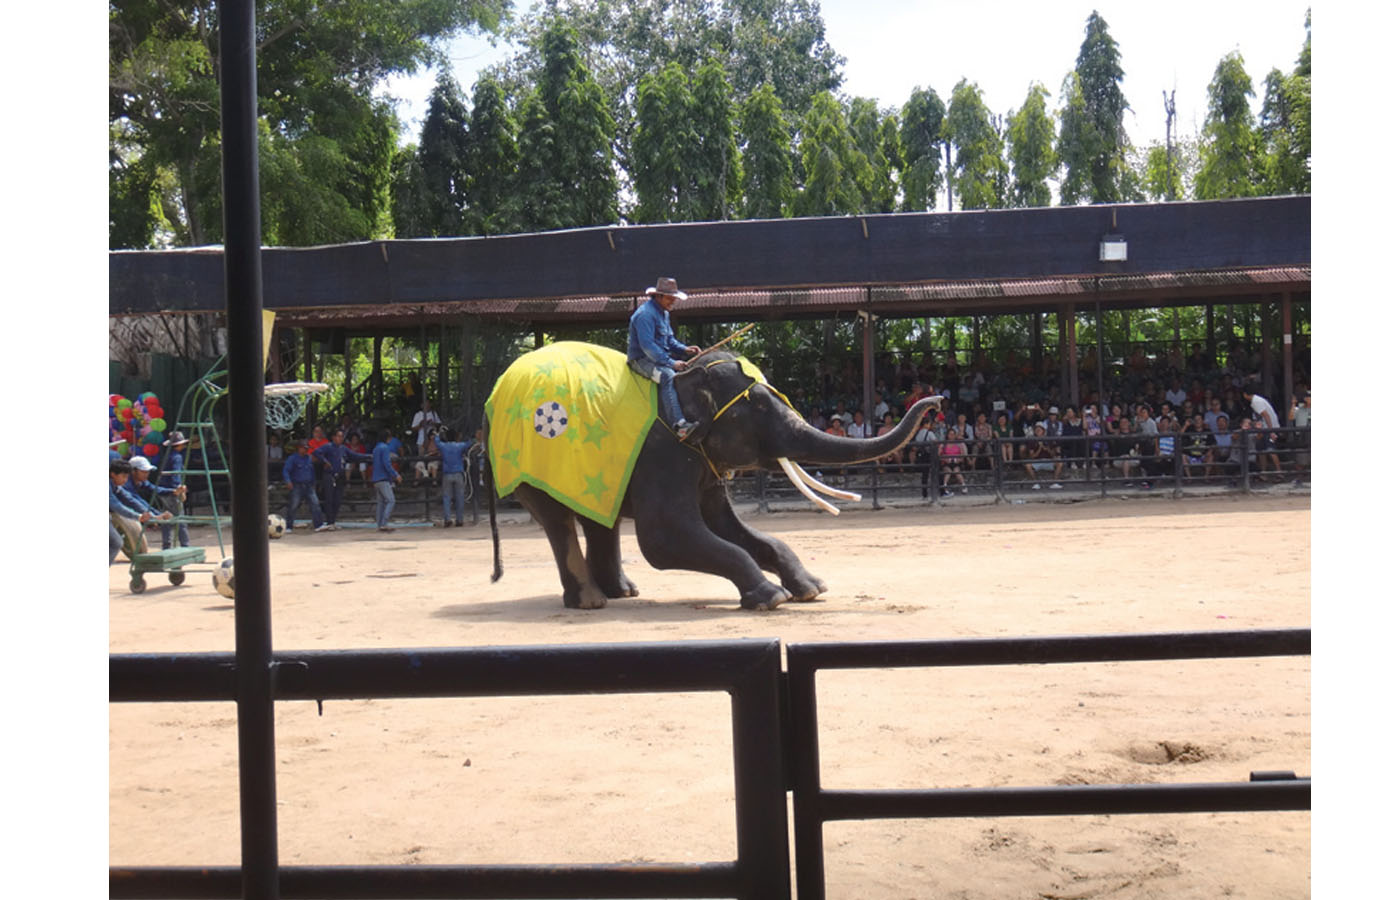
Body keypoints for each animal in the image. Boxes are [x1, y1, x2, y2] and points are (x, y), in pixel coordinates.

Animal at [484, 342, 940, 610]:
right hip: (525, 463)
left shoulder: (701, 459)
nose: (935, 400)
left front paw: (812, 589)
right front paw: (771, 599)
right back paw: (592, 602)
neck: (682, 383)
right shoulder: (664, 450)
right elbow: (664, 538)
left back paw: (624, 593)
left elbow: (731, 527)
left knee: (600, 518)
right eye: (759, 406)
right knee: (558, 521)